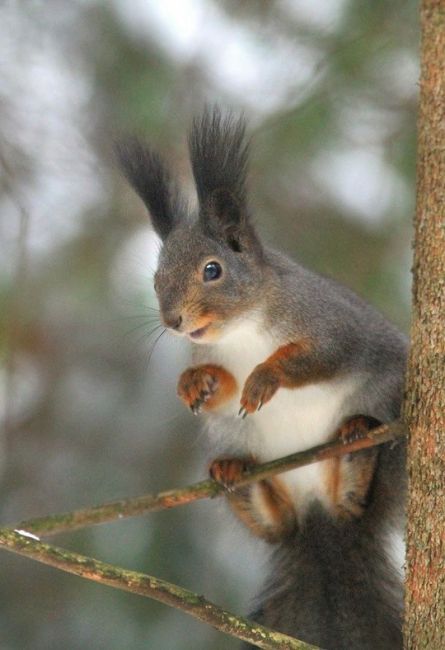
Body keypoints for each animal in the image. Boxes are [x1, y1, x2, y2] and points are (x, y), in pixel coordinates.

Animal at [117, 107, 406, 648]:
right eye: (156, 277)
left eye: (213, 270)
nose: (173, 321)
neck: (244, 330)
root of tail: (318, 511)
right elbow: (221, 384)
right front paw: (195, 383)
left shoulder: (332, 326)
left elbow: (316, 358)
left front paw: (264, 378)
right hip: (246, 446)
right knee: (278, 527)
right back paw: (235, 477)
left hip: (387, 422)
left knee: (356, 504)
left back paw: (355, 448)